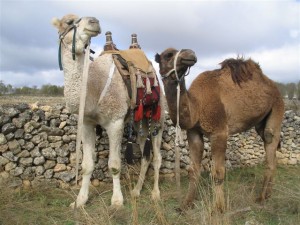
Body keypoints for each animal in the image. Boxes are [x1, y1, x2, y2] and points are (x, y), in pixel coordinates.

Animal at [51, 13, 164, 207]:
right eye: (68, 22)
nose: (94, 22)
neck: (93, 88)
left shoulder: (115, 122)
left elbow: (114, 164)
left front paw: (117, 201)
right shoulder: (87, 123)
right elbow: (87, 165)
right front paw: (80, 201)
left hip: (158, 115)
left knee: (157, 157)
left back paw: (155, 194)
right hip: (139, 121)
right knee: (145, 155)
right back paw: (136, 191)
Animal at [156, 48, 284, 211]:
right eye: (168, 55)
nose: (189, 54)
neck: (197, 107)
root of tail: (275, 87)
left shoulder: (219, 132)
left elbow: (217, 173)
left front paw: (219, 208)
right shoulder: (193, 132)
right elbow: (193, 170)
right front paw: (186, 205)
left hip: (277, 107)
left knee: (270, 141)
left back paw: (261, 198)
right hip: (261, 121)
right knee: (271, 152)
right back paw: (267, 195)